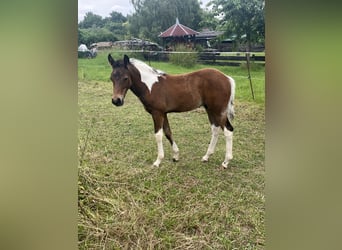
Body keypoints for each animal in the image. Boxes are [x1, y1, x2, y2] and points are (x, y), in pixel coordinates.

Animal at [107, 54, 235, 168]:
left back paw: (226, 162)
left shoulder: (157, 113)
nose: (116, 100)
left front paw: (158, 161)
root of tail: (227, 78)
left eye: (125, 78)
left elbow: (158, 135)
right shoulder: (164, 113)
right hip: (210, 110)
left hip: (218, 111)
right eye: (111, 78)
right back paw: (206, 157)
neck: (150, 86)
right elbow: (168, 133)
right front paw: (176, 156)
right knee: (215, 129)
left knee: (228, 131)